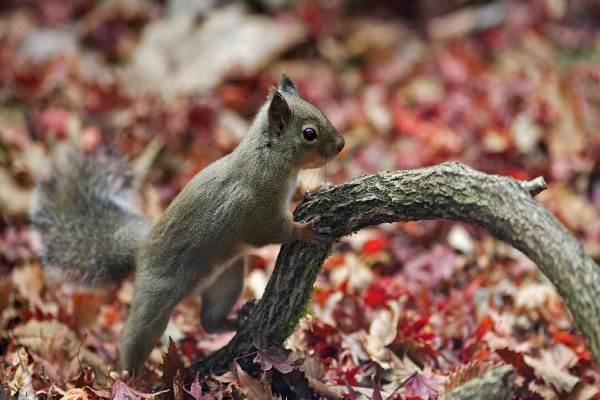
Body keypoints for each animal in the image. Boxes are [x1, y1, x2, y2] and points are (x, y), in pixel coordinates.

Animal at [30, 73, 344, 374]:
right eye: (309, 134)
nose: (341, 145)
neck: (270, 159)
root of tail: (140, 252)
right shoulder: (256, 210)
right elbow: (272, 231)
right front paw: (305, 231)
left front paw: (314, 191)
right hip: (154, 301)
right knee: (136, 336)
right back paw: (129, 378)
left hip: (226, 279)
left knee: (209, 320)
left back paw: (235, 319)